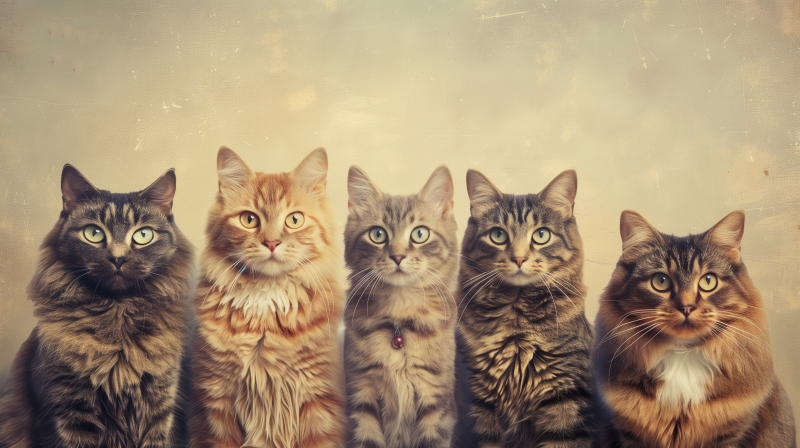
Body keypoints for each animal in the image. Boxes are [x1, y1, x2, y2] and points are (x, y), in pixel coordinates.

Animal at [0, 164, 194, 448]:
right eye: (94, 233)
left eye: (143, 235)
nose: (118, 258)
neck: (117, 316)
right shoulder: (65, 412)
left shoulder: (160, 409)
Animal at [342, 164, 460, 448]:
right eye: (377, 234)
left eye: (420, 233)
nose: (397, 256)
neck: (398, 319)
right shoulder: (362, 395)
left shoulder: (435, 400)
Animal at [456, 169, 592, 448]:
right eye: (498, 235)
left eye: (541, 235)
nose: (519, 258)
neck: (515, 322)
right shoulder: (485, 402)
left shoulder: (564, 395)